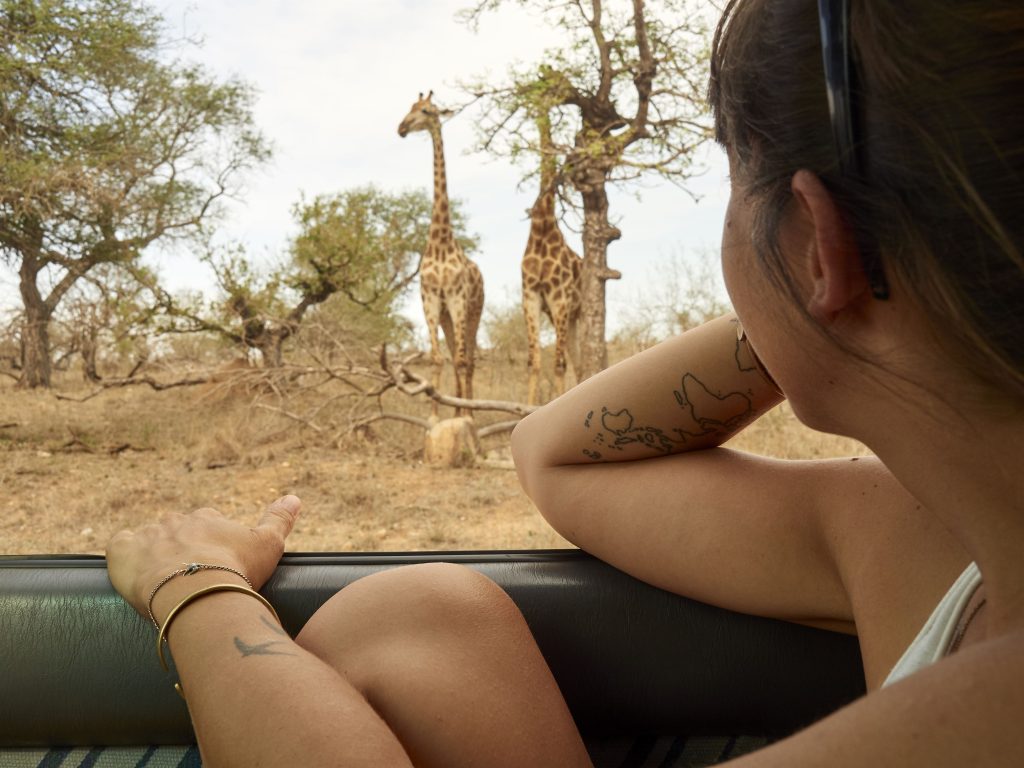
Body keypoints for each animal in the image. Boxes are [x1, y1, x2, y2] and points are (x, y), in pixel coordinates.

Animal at [395, 93, 483, 423]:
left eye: (426, 111)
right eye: (409, 108)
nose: (401, 128)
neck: (440, 242)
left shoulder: (457, 299)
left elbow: (460, 361)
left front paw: (467, 416)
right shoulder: (431, 300)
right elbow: (436, 359)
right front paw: (435, 414)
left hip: (472, 313)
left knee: (468, 360)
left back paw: (469, 410)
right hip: (448, 317)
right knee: (457, 356)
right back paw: (457, 408)